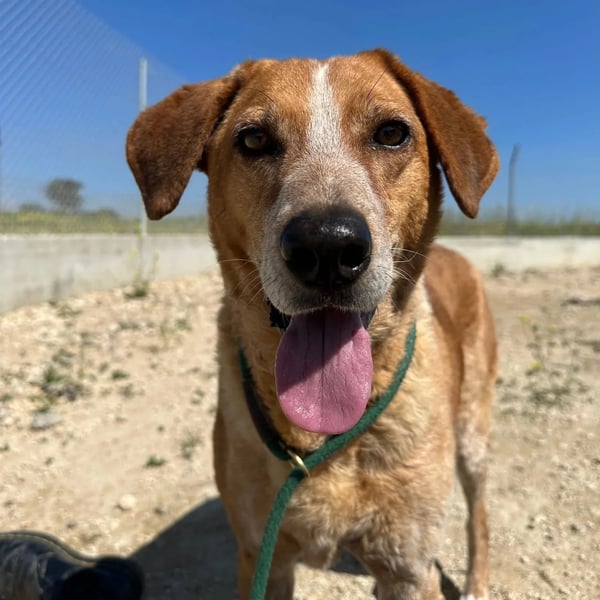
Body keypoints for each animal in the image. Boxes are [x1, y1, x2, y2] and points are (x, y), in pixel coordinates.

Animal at [126, 49, 499, 600]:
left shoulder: (409, 569)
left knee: (479, 510)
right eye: (254, 139)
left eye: (392, 133)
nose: (327, 247)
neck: (324, 440)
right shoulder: (261, 557)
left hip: (472, 433)